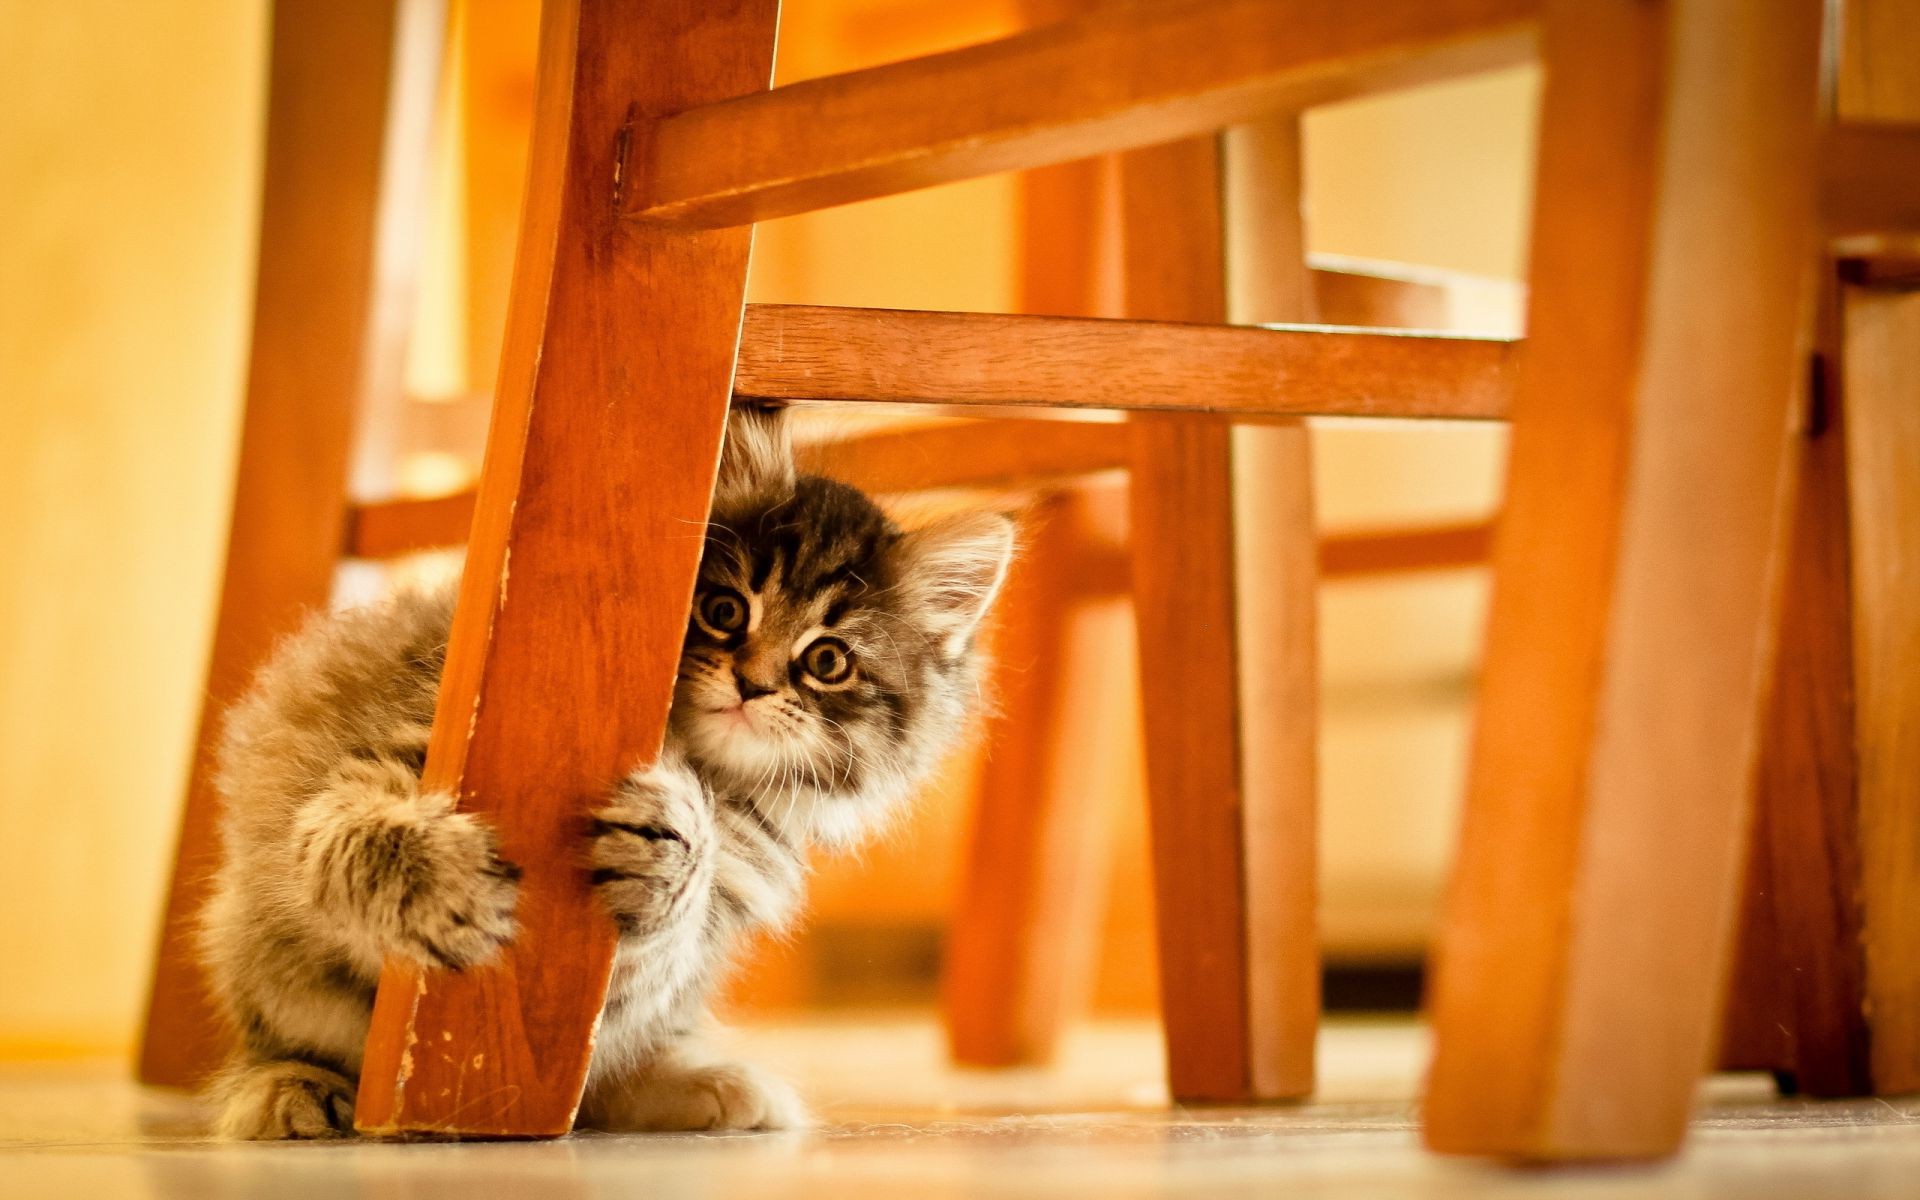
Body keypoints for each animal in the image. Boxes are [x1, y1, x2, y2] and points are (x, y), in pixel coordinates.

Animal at [198, 407, 1021, 1136]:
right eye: (724, 610)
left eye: (826, 660)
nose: (752, 685)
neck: (708, 770)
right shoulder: (398, 749)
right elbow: (356, 834)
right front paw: (434, 886)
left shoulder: (701, 922)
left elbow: (657, 946)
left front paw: (669, 852)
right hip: (256, 947)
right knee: (277, 1040)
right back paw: (287, 1088)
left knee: (603, 1083)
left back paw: (703, 1084)